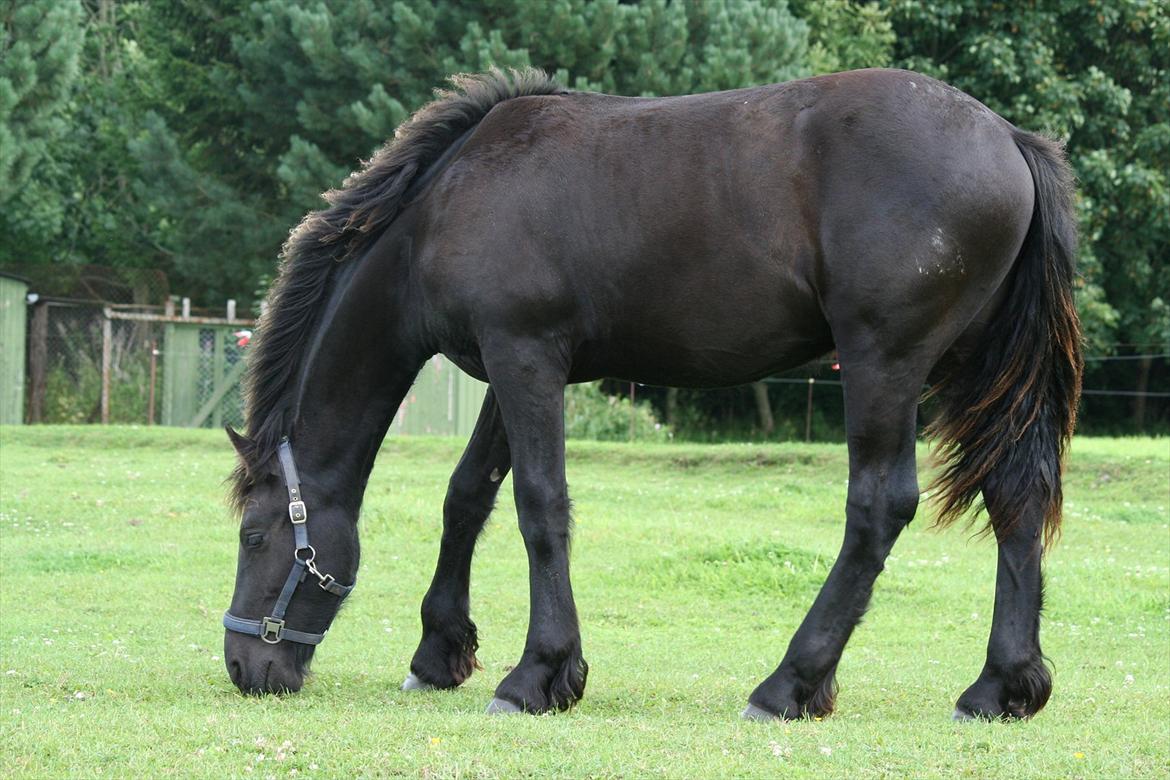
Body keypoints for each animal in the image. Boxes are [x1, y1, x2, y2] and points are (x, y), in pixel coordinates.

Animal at [223, 67, 1081, 720]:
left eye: (255, 537)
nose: (241, 667)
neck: (446, 205)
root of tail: (1009, 138)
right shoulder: (518, 367)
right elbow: (468, 495)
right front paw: (440, 652)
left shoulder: (523, 357)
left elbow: (539, 505)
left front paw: (540, 674)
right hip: (974, 370)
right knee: (1015, 496)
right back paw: (1001, 687)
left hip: (885, 362)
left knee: (878, 509)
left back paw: (788, 685)